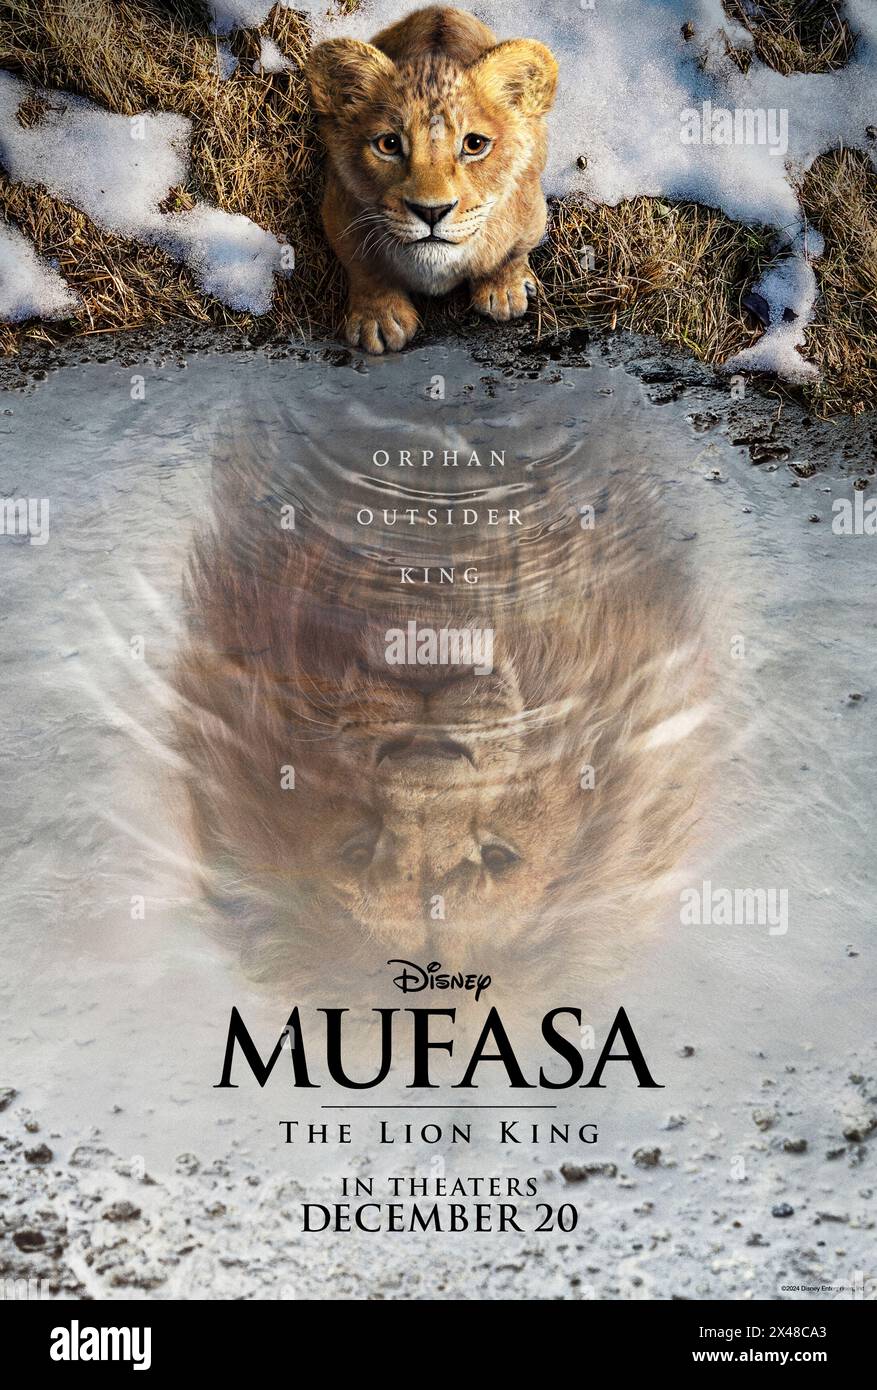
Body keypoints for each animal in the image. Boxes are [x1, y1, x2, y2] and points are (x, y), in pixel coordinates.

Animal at [306, 6, 558, 353]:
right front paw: (379, 319)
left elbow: (511, 253)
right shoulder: (339, 209)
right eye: (389, 144)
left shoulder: (531, 210)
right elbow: (364, 267)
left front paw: (503, 290)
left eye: (474, 144)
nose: (431, 212)